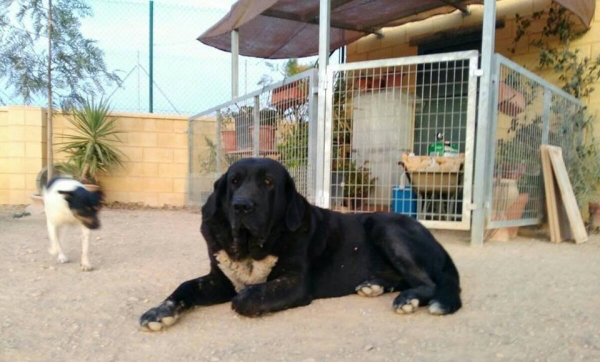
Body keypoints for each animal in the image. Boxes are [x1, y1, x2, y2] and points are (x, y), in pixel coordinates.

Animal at [139, 158, 460, 330]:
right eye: (234, 182)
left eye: (268, 183)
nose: (241, 206)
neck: (251, 248)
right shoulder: (219, 279)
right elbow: (185, 287)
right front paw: (160, 312)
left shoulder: (294, 282)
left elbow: (247, 297)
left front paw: (249, 296)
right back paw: (374, 285)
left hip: (386, 226)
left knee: (427, 283)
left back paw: (408, 299)